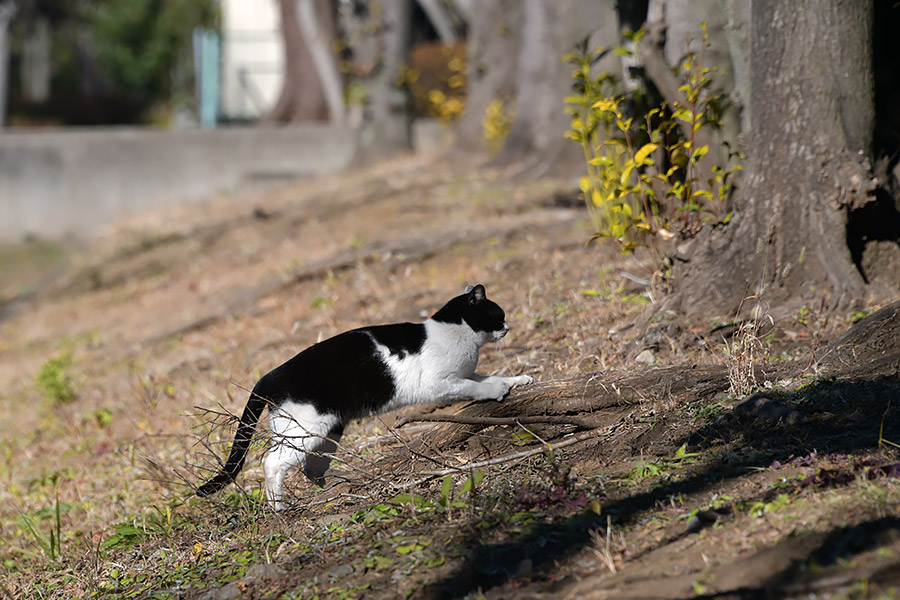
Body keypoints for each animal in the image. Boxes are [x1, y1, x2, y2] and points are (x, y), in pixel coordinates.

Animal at [196, 284, 532, 508]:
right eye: (498, 314)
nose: (508, 326)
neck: (456, 334)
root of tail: (269, 375)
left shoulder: (464, 373)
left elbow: (487, 375)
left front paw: (517, 379)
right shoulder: (440, 383)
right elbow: (477, 385)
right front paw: (498, 390)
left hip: (326, 432)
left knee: (309, 467)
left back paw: (331, 488)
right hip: (306, 430)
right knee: (272, 463)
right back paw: (279, 508)